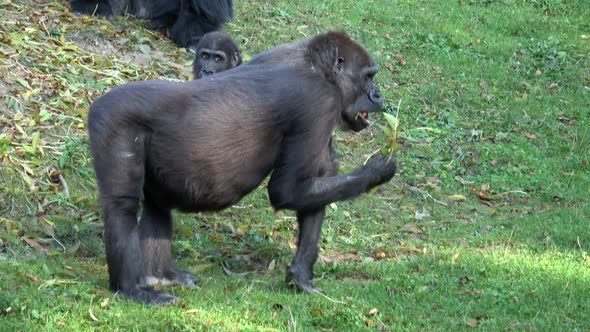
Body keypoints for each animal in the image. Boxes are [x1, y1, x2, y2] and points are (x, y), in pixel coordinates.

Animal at [88, 29, 400, 304]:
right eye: (368, 76)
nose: (377, 94)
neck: (318, 67)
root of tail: (96, 103)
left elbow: (317, 183)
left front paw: (299, 277)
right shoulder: (320, 102)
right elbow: (287, 190)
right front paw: (377, 171)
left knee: (157, 205)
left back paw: (162, 275)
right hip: (112, 119)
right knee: (122, 206)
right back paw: (132, 289)